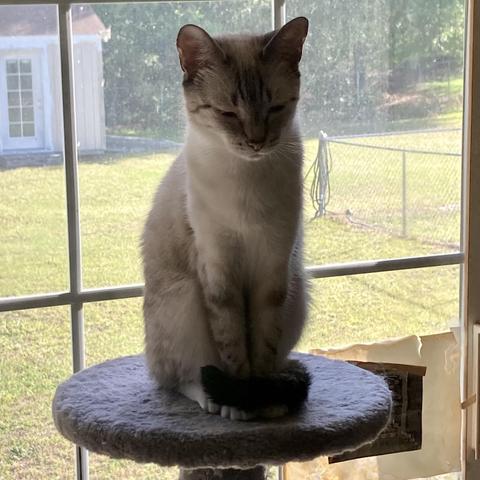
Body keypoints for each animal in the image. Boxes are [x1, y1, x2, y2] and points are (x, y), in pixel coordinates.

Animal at [141, 16, 310, 420]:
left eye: (275, 108)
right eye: (227, 114)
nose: (256, 142)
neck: (246, 177)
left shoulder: (272, 270)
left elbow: (261, 348)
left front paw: (261, 398)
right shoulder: (220, 272)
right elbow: (232, 346)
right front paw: (241, 405)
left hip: (299, 293)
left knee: (279, 361)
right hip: (183, 299)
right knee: (177, 378)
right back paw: (213, 400)